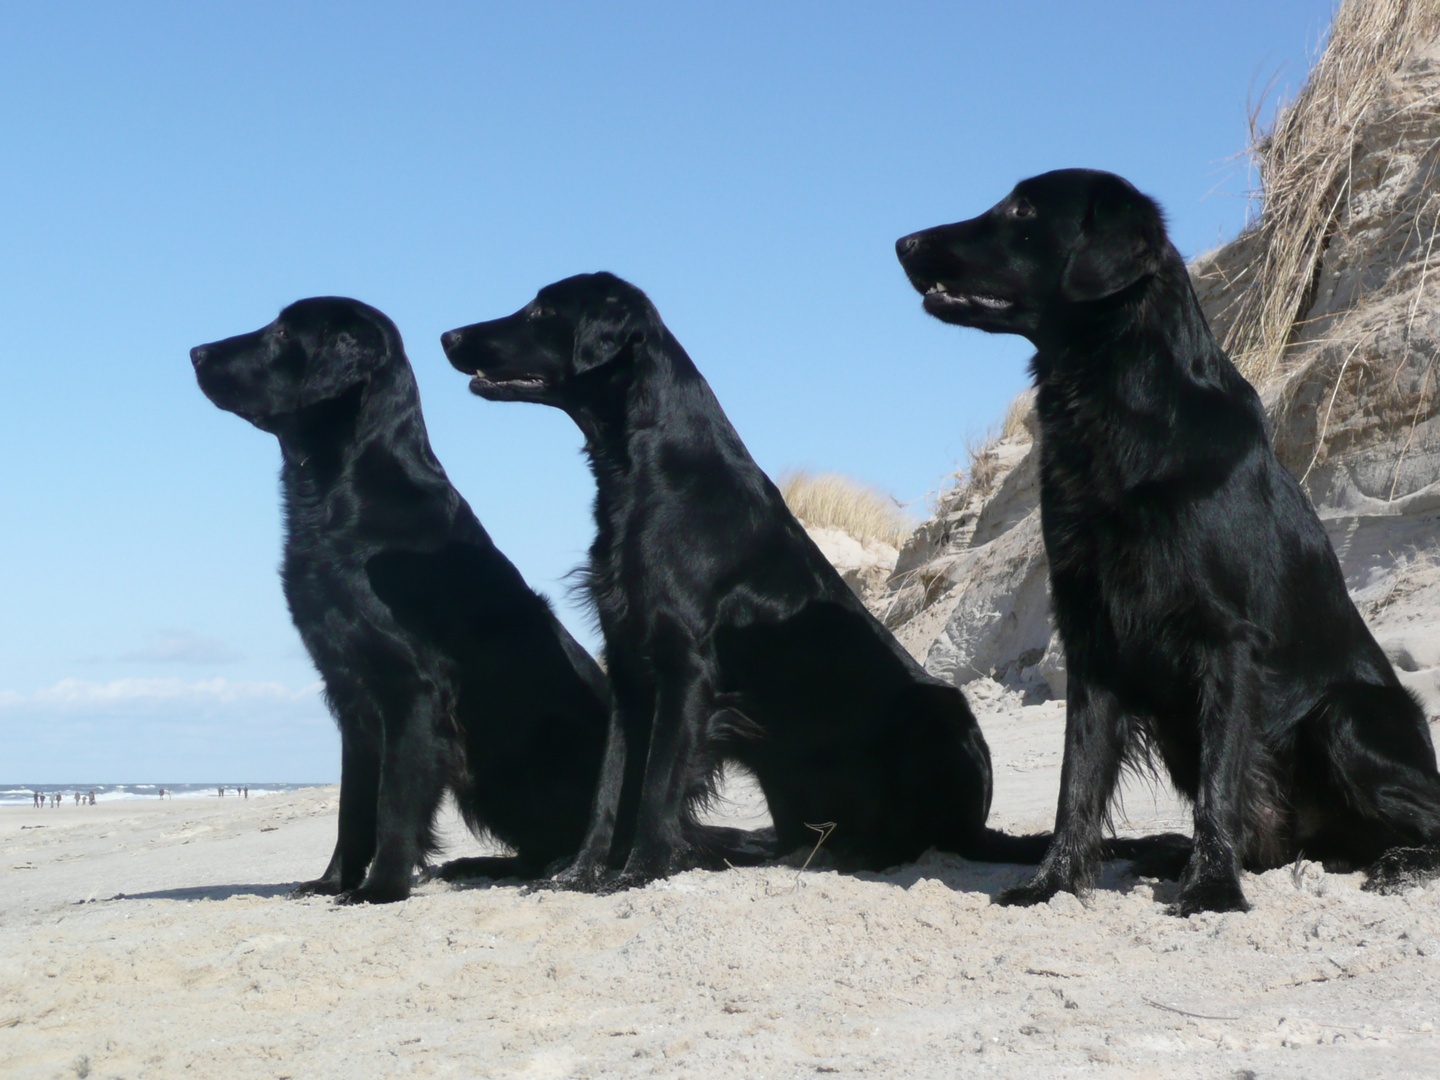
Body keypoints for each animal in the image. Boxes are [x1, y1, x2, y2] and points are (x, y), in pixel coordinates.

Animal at [192, 298, 613, 904]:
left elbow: (393, 804)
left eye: (282, 333)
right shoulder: (349, 697)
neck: (341, 503)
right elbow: (352, 809)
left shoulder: (411, 691)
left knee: (557, 846)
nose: (195, 352)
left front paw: (381, 888)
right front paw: (332, 882)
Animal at [892, 169, 1440, 915]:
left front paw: (1211, 889)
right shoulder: (1092, 636)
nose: (903, 243)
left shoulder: (1226, 640)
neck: (1119, 412)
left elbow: (1220, 785)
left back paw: (1396, 862)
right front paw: (1052, 884)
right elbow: (1078, 783)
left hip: (1347, 716)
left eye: (1024, 209)